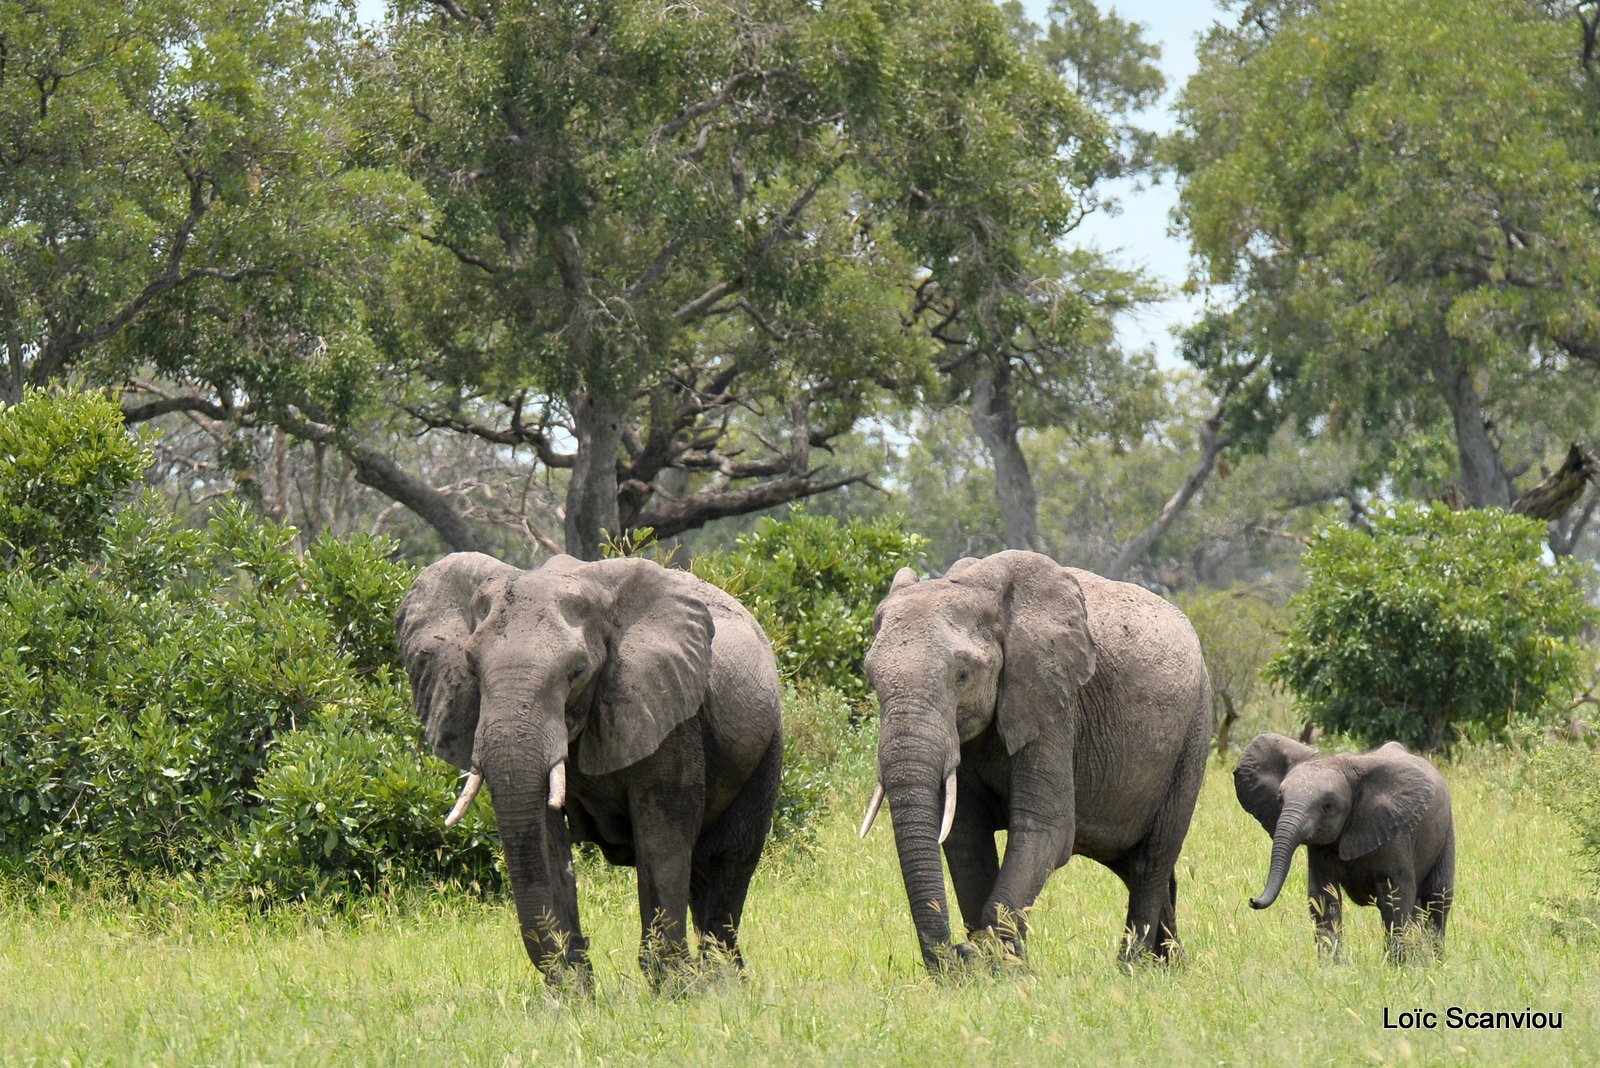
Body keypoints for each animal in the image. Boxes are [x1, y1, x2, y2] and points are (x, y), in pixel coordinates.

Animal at [393, 556, 780, 991]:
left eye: (577, 672)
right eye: (472, 669)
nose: (584, 946)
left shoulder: (672, 718)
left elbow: (661, 838)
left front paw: (675, 989)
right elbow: (543, 836)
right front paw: (573, 994)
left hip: (766, 745)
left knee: (727, 862)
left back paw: (724, 984)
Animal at [864, 549, 1209, 965]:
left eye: (963, 675)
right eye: (871, 678)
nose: (958, 953)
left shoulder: (1053, 702)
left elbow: (1045, 831)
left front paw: (1006, 968)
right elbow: (965, 839)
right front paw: (993, 965)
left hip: (1193, 733)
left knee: (1152, 859)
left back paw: (1134, 967)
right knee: (1134, 863)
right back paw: (1171, 966)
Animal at [1228, 735, 1459, 959]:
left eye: (1328, 806)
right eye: (1279, 799)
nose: (1252, 901)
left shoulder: (1395, 835)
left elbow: (1396, 899)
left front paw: (1397, 967)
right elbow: (1323, 898)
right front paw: (1332, 966)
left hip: (1446, 832)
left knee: (1437, 899)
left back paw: (1434, 963)